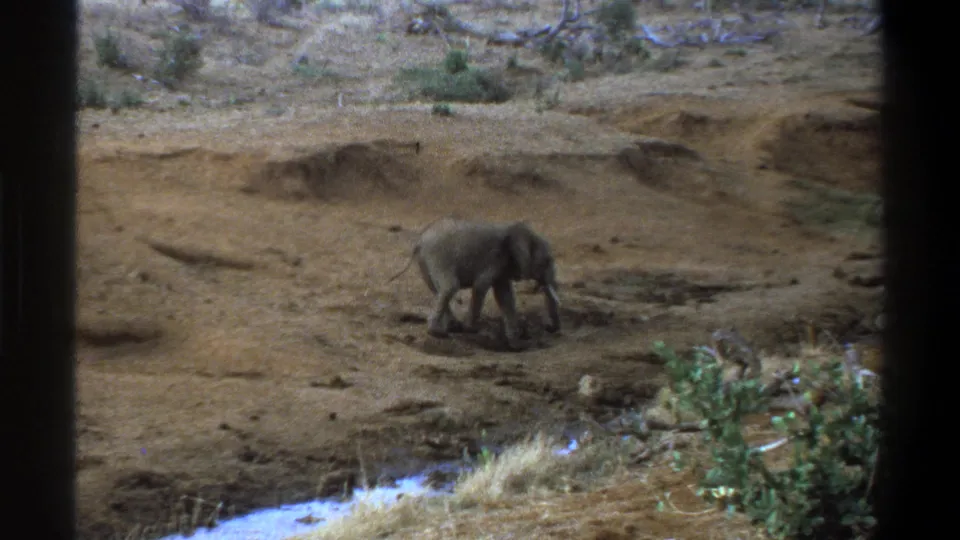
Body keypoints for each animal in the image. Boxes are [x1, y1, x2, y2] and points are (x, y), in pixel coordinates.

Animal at [388, 218, 562, 350]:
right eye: (547, 261)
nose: (550, 328)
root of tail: (420, 241)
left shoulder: (502, 266)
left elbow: (505, 296)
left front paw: (516, 343)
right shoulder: (494, 259)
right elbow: (481, 286)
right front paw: (471, 329)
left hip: (424, 262)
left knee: (437, 289)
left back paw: (452, 327)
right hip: (439, 257)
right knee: (450, 286)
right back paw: (438, 333)